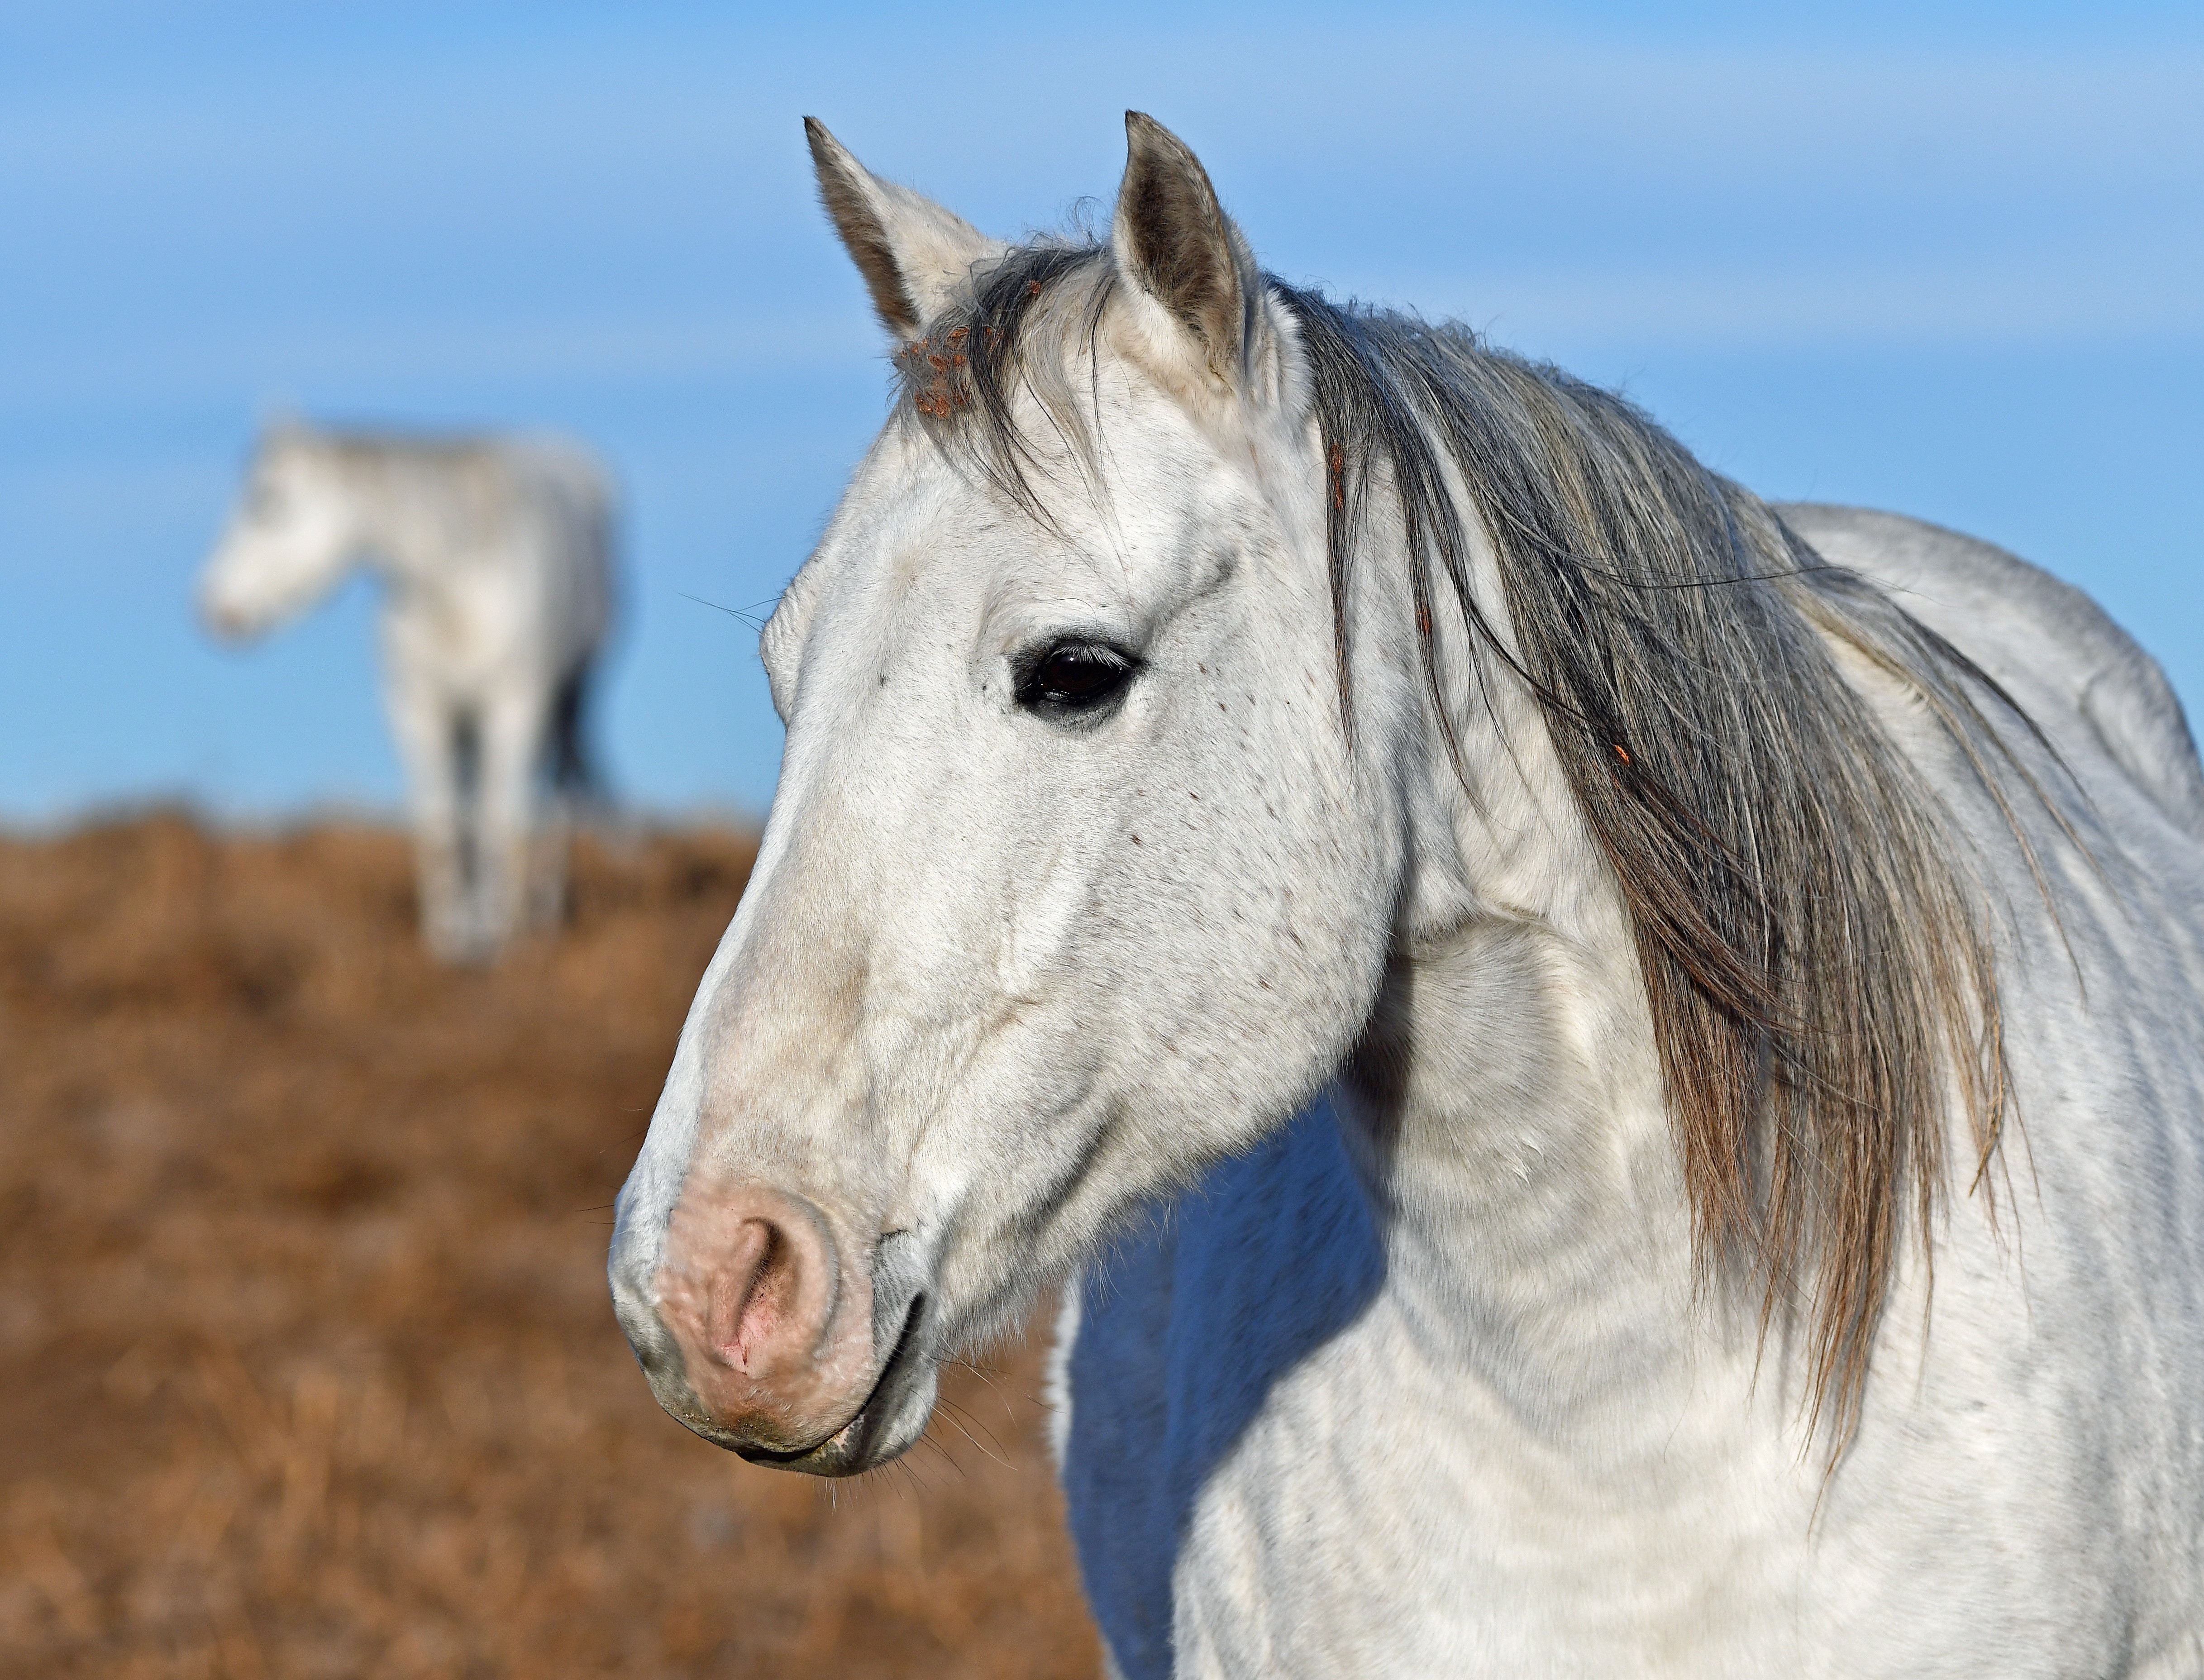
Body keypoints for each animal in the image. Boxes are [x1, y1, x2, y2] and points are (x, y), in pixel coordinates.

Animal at [199, 421, 617, 957]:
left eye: (267, 500)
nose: (210, 606)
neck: (454, 587)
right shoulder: (418, 710)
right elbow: (439, 820)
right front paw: (452, 938)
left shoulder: (515, 706)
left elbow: (501, 818)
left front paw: (501, 937)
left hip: (571, 697)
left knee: (557, 796)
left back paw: (542, 913)